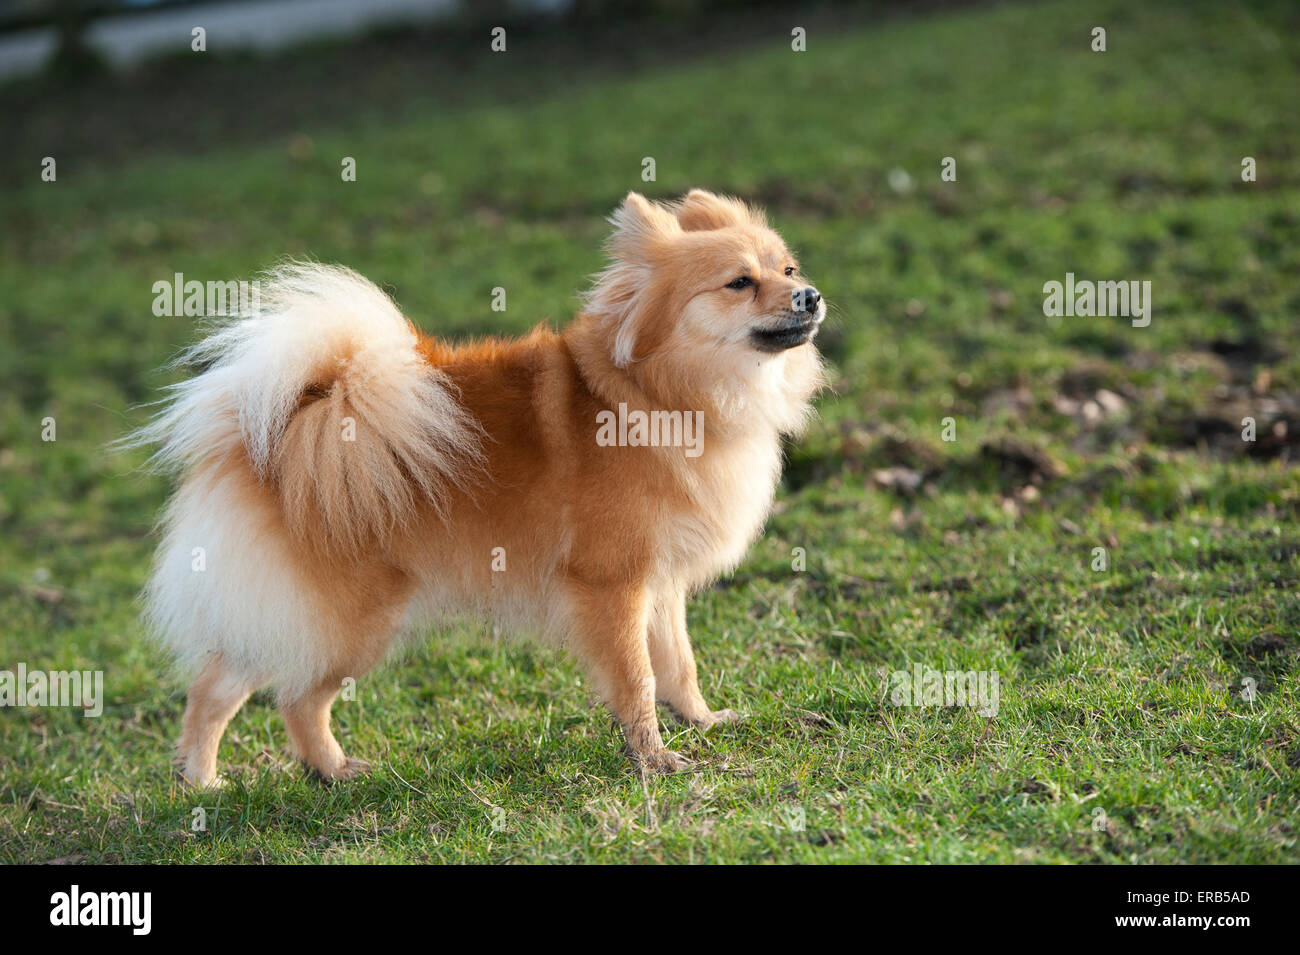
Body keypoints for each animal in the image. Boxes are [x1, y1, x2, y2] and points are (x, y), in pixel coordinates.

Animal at [131, 188, 821, 784]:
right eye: (739, 282)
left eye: (788, 269)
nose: (810, 294)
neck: (653, 393)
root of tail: (286, 427)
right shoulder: (613, 585)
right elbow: (637, 678)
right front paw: (652, 759)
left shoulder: (661, 583)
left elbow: (678, 663)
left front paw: (702, 721)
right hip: (352, 623)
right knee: (294, 697)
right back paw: (323, 771)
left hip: (293, 615)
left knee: (216, 687)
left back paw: (206, 781)